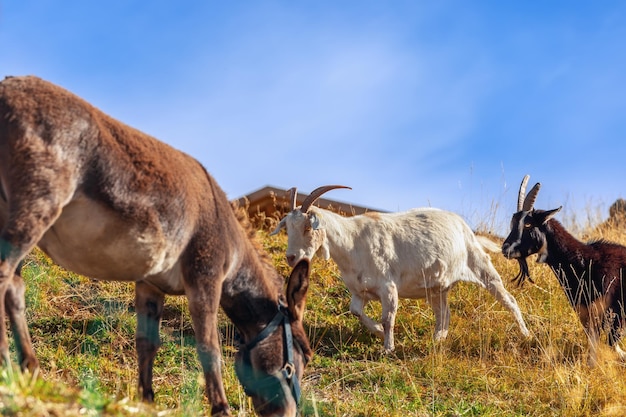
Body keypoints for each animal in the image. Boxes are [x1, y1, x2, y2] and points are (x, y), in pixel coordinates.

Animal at [0, 75, 312, 416]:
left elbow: (147, 343)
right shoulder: (205, 277)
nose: (289, 413)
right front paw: (221, 408)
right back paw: (7, 366)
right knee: (4, 277)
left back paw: (29, 369)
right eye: (304, 354)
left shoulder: (151, 284)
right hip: (37, 203)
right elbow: (209, 347)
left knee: (15, 287)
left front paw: (146, 400)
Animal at [270, 185, 528, 352]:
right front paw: (378, 333)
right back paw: (437, 340)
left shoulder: (388, 286)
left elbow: (388, 317)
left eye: (307, 227)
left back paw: (526, 334)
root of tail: (466, 228)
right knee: (444, 313)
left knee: (509, 299)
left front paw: (388, 348)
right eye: (288, 228)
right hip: (437, 288)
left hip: (481, 266)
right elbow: (356, 312)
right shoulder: (359, 291)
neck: (352, 242)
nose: (292, 257)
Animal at [502, 174, 624, 362]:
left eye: (528, 224)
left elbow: (612, 342)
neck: (585, 261)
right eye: (512, 223)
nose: (505, 248)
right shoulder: (585, 310)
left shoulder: (614, 309)